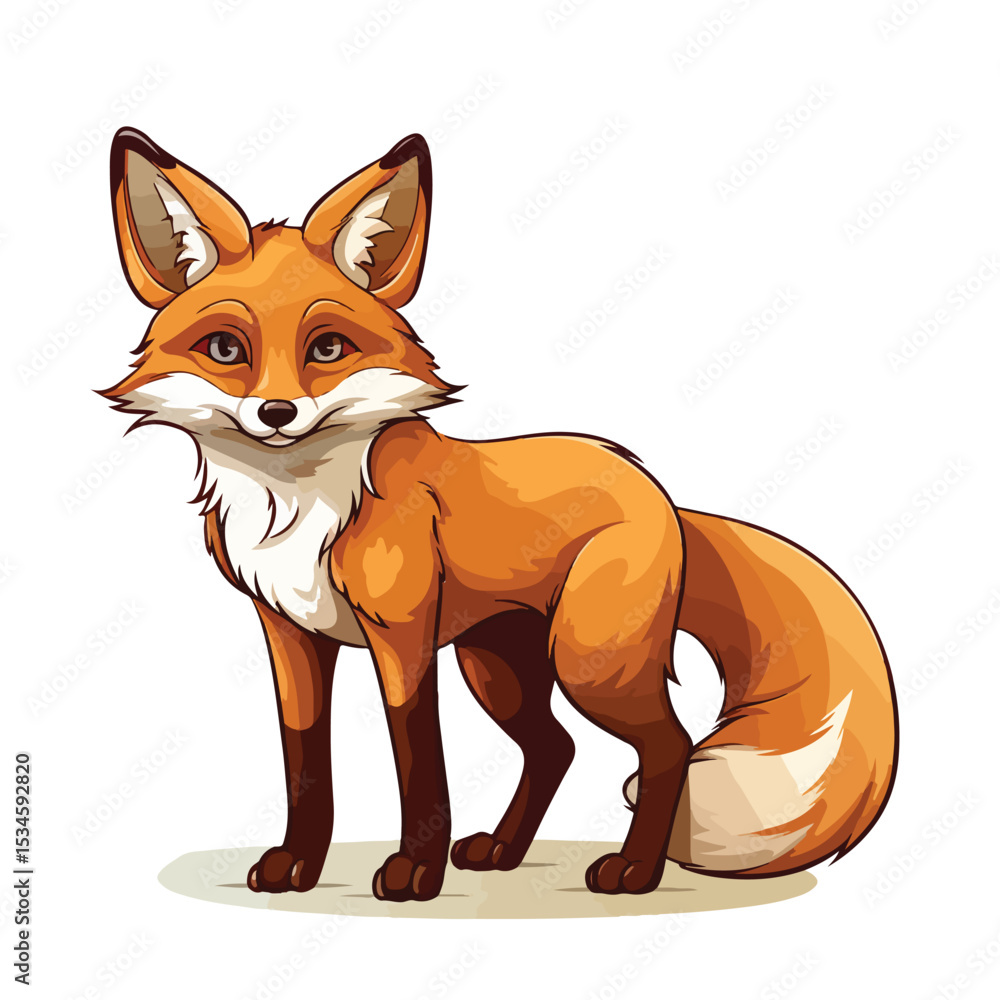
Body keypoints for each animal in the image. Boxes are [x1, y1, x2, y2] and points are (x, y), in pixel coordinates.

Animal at [101, 127, 898, 903]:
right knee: (555, 748)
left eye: (327, 347)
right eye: (225, 349)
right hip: (497, 668)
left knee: (665, 745)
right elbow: (305, 763)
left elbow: (418, 758)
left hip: (588, 664)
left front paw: (415, 873)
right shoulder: (290, 635)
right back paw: (504, 853)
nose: (276, 413)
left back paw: (633, 871)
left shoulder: (403, 638)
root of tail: (659, 491)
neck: (300, 506)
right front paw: (299, 863)